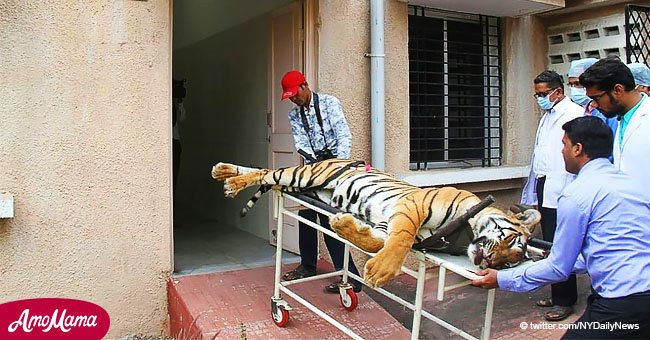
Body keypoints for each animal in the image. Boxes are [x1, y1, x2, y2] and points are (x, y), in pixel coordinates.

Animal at [210, 159, 540, 286]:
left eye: (511, 263)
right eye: (510, 240)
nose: (491, 263)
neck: (463, 236)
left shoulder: (388, 224)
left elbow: (374, 241)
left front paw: (344, 225)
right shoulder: (412, 207)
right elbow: (400, 241)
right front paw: (381, 272)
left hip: (305, 184)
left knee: (269, 173)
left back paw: (225, 175)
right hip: (306, 175)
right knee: (268, 171)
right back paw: (228, 178)